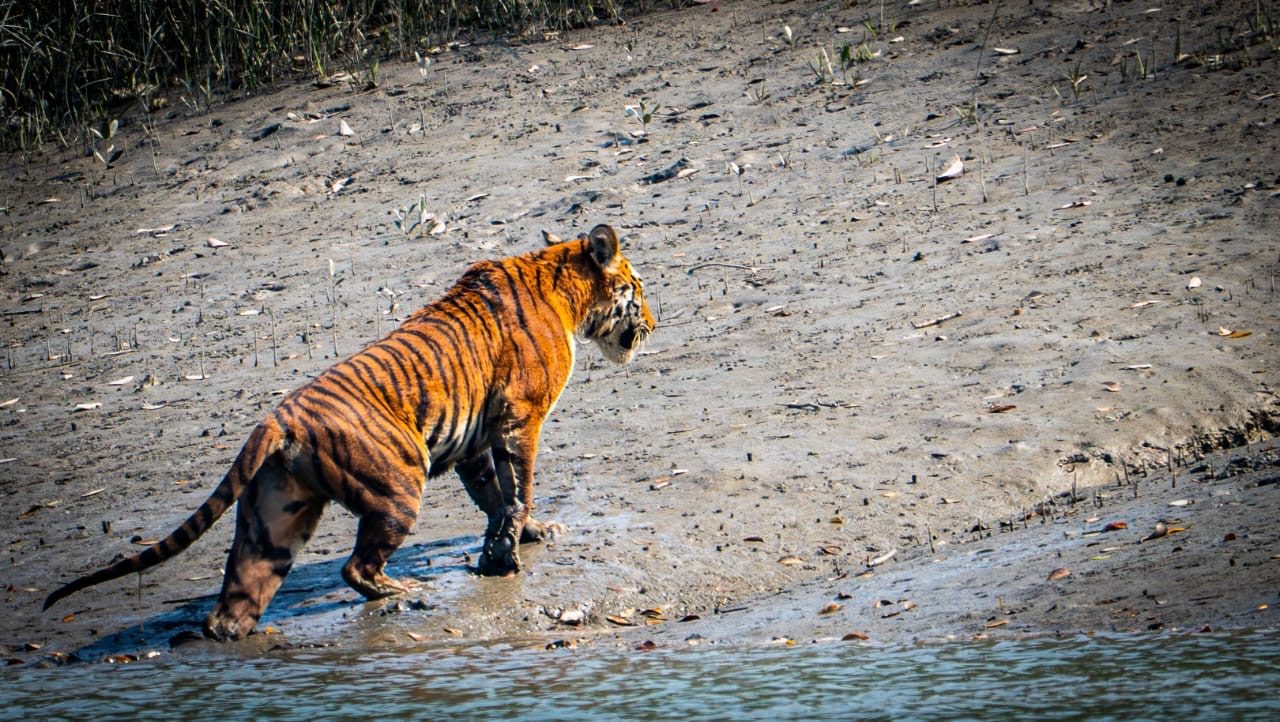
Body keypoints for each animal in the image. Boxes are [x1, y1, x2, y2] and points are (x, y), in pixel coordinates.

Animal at [43, 223, 654, 641]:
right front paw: (517, 544)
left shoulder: (476, 441)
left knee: (237, 596)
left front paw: (521, 537)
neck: (561, 284)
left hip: (272, 523)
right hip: (400, 485)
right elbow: (518, 488)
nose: (652, 323)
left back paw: (228, 640)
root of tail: (278, 418)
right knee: (354, 566)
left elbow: (494, 496)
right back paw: (406, 590)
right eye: (638, 288)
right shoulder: (519, 418)